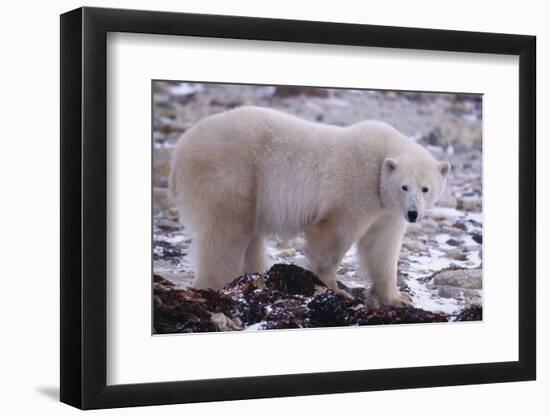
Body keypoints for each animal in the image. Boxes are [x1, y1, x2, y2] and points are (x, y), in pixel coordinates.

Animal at [171, 105, 452, 306]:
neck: (380, 159)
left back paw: (258, 281)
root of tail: (182, 145)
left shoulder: (387, 208)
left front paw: (397, 298)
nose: (413, 213)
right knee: (226, 232)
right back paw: (219, 285)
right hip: (232, 171)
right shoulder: (356, 188)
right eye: (404, 186)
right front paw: (334, 288)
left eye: (425, 188)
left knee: (247, 235)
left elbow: (382, 246)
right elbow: (334, 233)